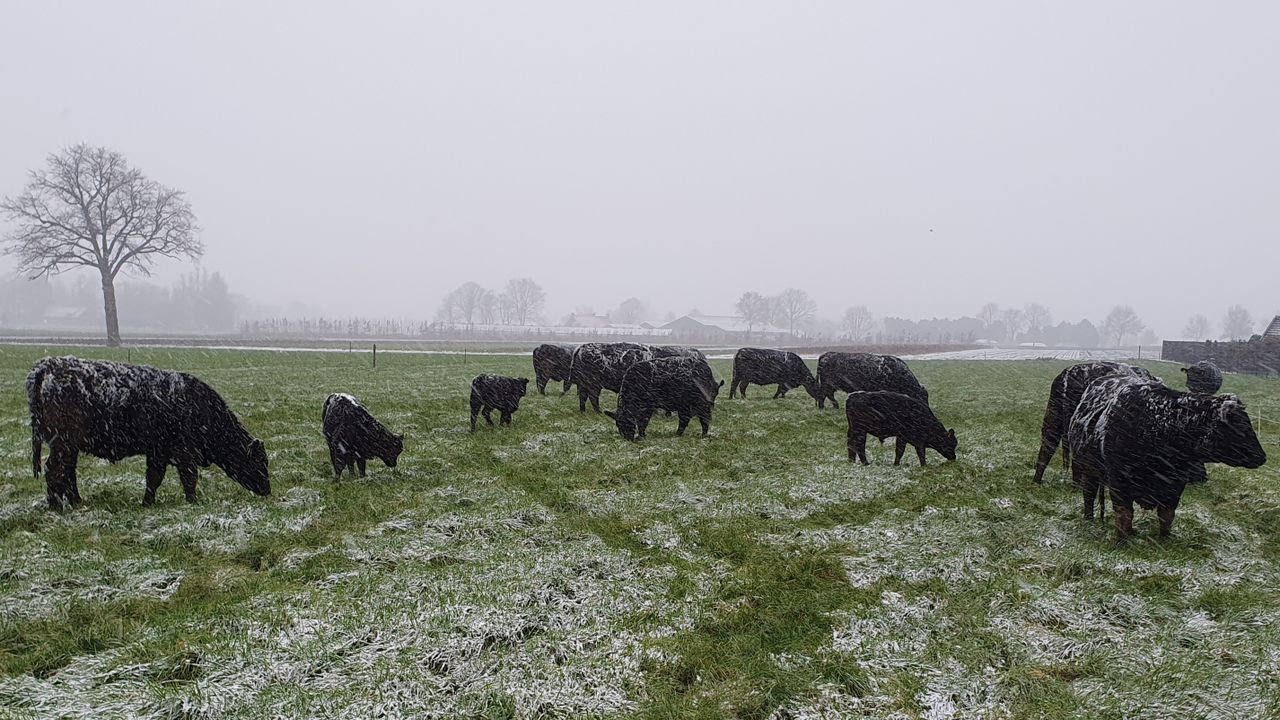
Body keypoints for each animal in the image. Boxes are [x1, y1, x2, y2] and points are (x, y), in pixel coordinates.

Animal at [26, 356, 269, 510]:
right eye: (259, 461)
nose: (267, 490)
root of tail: (47, 366)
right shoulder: (185, 453)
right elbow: (189, 478)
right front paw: (193, 502)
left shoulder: (158, 452)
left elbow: (153, 478)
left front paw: (147, 503)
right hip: (63, 443)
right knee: (54, 470)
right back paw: (57, 507)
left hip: (69, 446)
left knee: (67, 472)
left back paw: (76, 502)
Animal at [1067, 374, 1266, 540]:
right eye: (1238, 425)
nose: (1262, 457)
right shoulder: (1119, 482)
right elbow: (1124, 514)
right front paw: (1122, 541)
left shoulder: (1175, 485)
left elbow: (1166, 515)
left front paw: (1164, 539)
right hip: (1089, 469)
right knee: (1089, 495)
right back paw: (1088, 519)